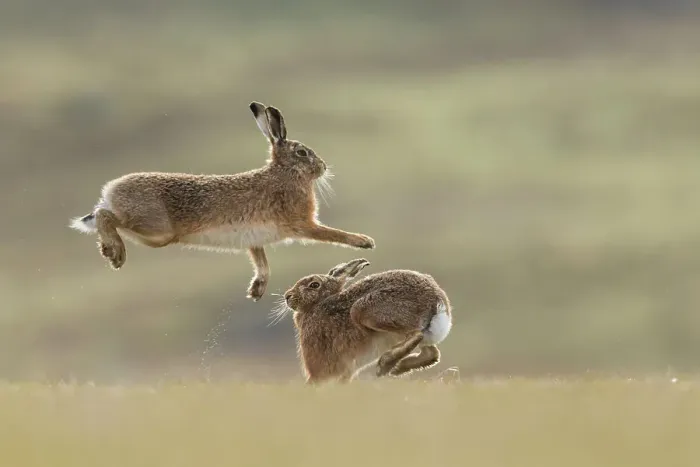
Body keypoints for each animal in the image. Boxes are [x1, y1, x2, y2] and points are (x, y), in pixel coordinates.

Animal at [69, 102, 375, 301]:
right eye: (302, 153)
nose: (323, 167)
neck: (285, 172)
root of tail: (111, 190)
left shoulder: (255, 238)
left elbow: (261, 261)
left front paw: (256, 290)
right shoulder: (302, 222)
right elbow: (331, 234)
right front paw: (364, 241)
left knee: (102, 216)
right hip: (156, 229)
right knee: (106, 217)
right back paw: (114, 251)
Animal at [275, 258, 453, 384]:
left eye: (314, 284)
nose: (288, 296)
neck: (318, 304)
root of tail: (437, 301)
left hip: (364, 311)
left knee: (415, 334)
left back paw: (385, 364)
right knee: (432, 353)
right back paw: (398, 368)